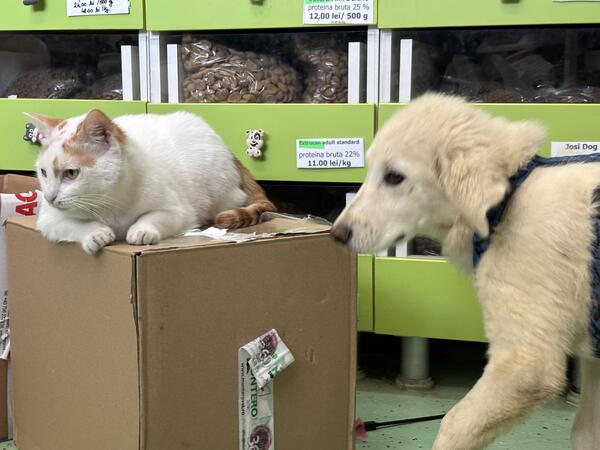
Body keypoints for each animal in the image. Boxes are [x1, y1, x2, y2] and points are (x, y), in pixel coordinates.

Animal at [26, 109, 276, 254]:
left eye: (71, 173)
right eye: (43, 172)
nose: (49, 197)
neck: (108, 201)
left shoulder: (178, 211)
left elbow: (153, 217)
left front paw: (141, 230)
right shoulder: (49, 220)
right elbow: (74, 224)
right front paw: (95, 233)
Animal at [331, 93, 600, 450]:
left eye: (394, 177)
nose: (336, 234)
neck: (508, 201)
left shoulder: (525, 362)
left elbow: (454, 424)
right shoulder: (595, 363)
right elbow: (585, 433)